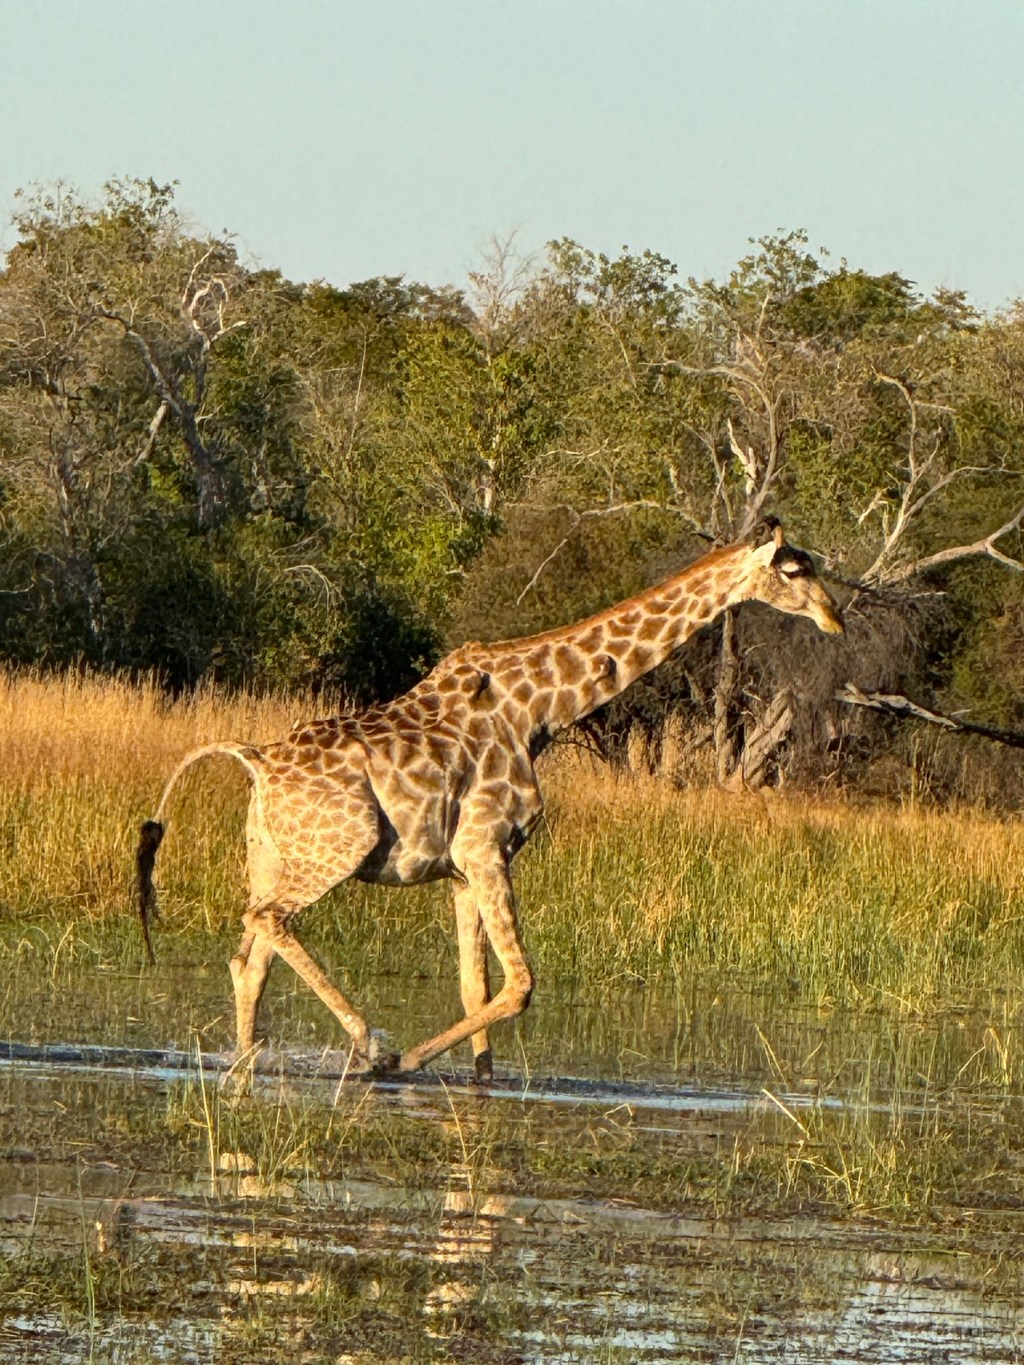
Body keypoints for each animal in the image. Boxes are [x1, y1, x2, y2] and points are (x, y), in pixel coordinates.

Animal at [137, 523, 843, 1081]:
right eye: (794, 568)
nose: (835, 618)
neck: (541, 710)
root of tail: (255, 761)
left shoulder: (460, 867)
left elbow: (473, 985)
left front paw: (480, 1082)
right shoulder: (486, 846)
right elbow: (520, 983)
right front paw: (407, 1061)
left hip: (272, 853)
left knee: (248, 957)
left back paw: (248, 1060)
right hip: (340, 848)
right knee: (268, 920)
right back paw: (369, 1046)